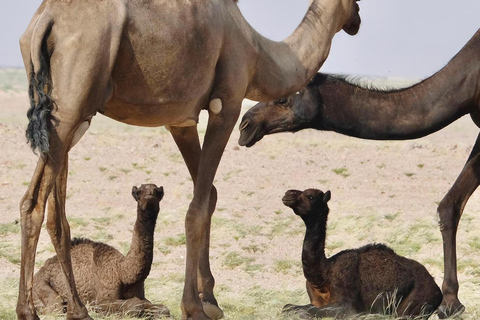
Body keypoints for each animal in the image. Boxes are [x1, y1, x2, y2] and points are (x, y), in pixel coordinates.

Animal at [33, 184, 170, 318]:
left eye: (157, 191)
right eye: (139, 192)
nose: (149, 193)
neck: (123, 272)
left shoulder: (141, 295)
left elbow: (163, 308)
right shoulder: (102, 299)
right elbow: (135, 305)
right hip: (42, 287)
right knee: (56, 306)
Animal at [282, 189, 442, 318]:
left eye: (310, 196)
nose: (288, 194)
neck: (324, 272)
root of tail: (438, 291)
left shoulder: (347, 305)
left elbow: (307, 311)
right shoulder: (315, 300)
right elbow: (289, 307)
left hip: (414, 304)